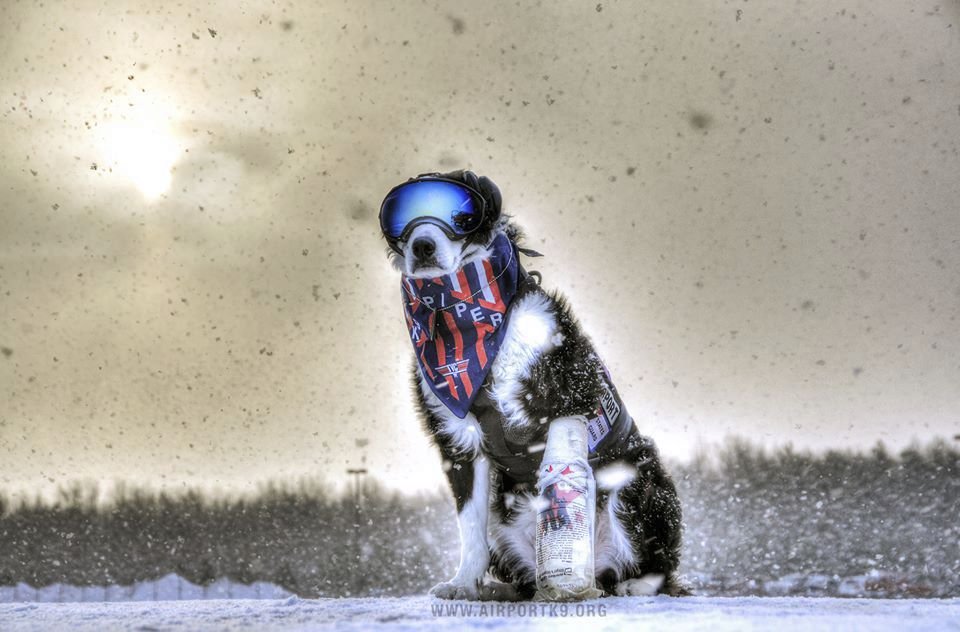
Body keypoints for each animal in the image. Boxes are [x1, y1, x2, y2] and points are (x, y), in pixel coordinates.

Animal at [378, 170, 688, 600]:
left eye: (462, 216)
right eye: (400, 222)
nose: (422, 245)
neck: (470, 323)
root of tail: (602, 574)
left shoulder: (567, 394)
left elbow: (562, 464)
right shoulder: (457, 439)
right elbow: (469, 526)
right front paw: (463, 584)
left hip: (638, 478)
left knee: (659, 563)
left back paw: (635, 584)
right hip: (505, 512)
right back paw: (505, 588)